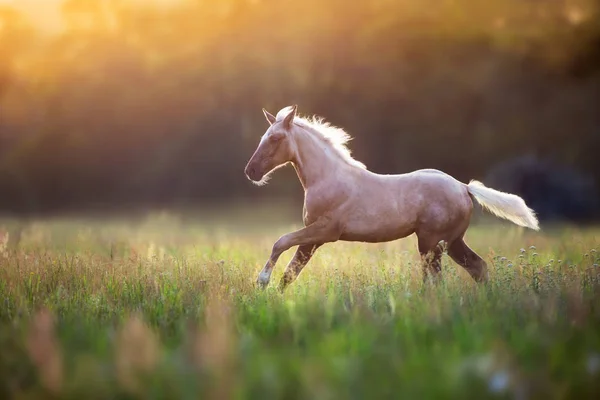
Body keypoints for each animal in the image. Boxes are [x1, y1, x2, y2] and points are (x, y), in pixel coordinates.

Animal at [244, 104, 540, 292]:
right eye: (263, 137)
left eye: (276, 138)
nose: (251, 171)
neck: (328, 177)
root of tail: (463, 187)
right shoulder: (312, 239)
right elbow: (290, 274)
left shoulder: (325, 231)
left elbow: (280, 242)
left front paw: (261, 281)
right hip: (452, 242)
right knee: (478, 268)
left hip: (431, 243)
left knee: (436, 280)